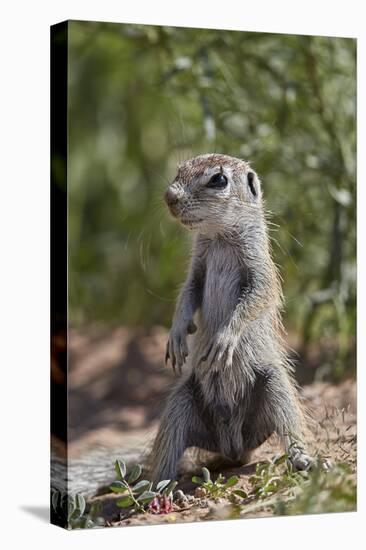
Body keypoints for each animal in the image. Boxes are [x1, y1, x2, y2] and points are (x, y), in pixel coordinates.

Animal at [150, 154, 314, 484]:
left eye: (218, 180)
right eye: (179, 170)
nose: (169, 196)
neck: (219, 238)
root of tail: (233, 446)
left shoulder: (260, 270)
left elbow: (255, 299)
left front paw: (224, 338)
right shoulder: (197, 269)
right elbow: (187, 294)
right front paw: (177, 334)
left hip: (274, 384)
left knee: (289, 422)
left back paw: (303, 459)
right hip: (181, 400)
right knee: (168, 447)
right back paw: (160, 486)